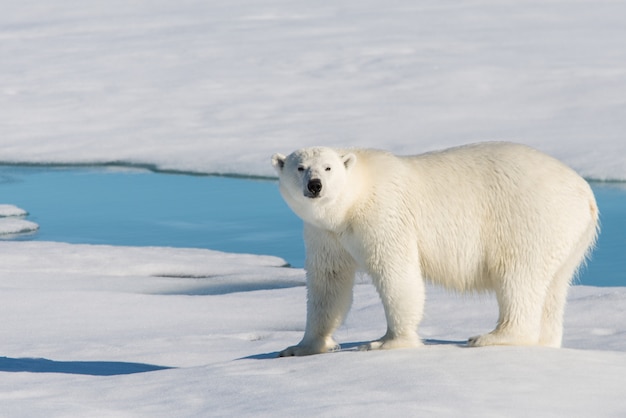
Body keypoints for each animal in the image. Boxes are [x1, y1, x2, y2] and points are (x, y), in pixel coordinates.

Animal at [270, 142, 596, 354]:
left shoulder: (384, 214)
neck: (354, 200)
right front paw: (302, 347)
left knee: (518, 275)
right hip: (568, 236)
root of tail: (585, 193)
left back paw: (491, 337)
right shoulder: (325, 234)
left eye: (328, 167)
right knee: (554, 286)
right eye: (300, 167)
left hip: (529, 217)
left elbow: (396, 273)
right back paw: (545, 341)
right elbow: (328, 283)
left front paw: (385, 342)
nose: (315, 185)